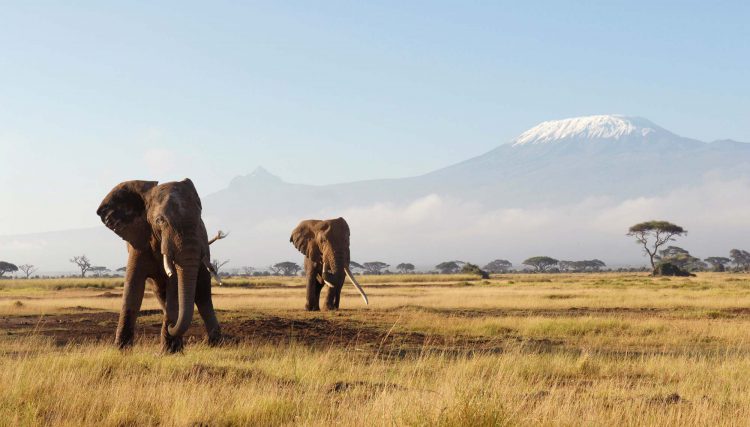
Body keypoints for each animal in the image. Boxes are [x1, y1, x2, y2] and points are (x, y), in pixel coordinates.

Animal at [97, 179, 226, 352]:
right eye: (160, 220)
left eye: (199, 220)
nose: (171, 325)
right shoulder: (139, 241)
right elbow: (133, 287)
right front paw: (121, 350)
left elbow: (175, 287)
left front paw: (170, 350)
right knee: (160, 292)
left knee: (203, 294)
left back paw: (214, 343)